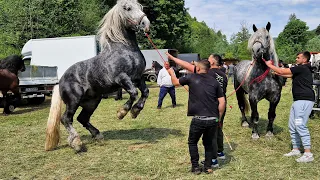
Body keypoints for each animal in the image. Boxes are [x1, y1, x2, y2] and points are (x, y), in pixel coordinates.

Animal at [45, 0, 151, 152]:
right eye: (128, 8)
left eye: (140, 7)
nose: (146, 24)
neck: (125, 50)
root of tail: (61, 81)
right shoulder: (122, 78)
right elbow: (133, 93)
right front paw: (122, 112)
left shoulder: (138, 78)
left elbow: (145, 92)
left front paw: (135, 111)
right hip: (73, 101)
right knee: (66, 119)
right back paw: (77, 143)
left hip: (92, 102)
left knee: (82, 118)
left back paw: (98, 135)